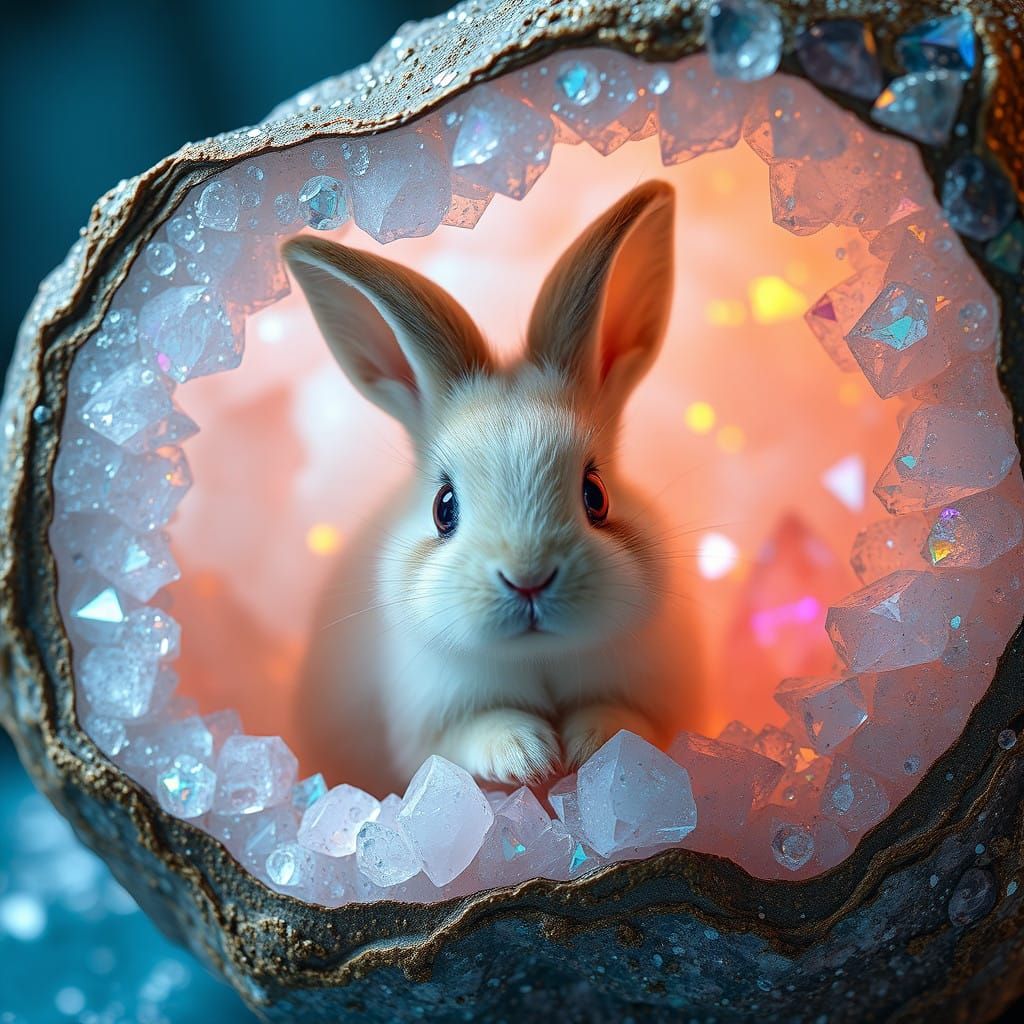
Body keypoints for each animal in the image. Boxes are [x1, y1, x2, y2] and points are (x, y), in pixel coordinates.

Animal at [284, 180, 703, 793]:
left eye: (596, 495)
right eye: (444, 508)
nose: (528, 579)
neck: (537, 659)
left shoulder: (656, 703)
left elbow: (624, 721)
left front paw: (587, 749)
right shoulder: (432, 733)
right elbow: (477, 735)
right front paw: (530, 758)